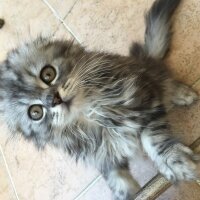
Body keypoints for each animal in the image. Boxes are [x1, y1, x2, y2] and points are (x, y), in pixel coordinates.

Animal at [0, 0, 200, 199]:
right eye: (36, 112)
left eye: (48, 74)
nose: (53, 99)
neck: (92, 114)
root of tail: (142, 59)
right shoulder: (102, 155)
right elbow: (114, 178)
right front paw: (125, 193)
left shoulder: (145, 102)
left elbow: (154, 140)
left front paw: (176, 161)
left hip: (147, 74)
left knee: (165, 80)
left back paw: (182, 94)